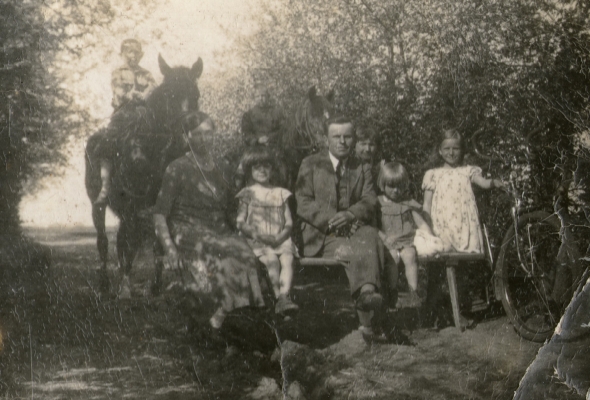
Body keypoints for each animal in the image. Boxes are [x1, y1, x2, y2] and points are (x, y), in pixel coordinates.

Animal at [85, 54, 210, 296]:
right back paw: (106, 284)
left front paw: (156, 285)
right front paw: (125, 287)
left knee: (120, 240)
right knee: (104, 241)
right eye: (169, 95)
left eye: (196, 95)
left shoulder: (159, 203)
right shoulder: (132, 203)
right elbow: (131, 243)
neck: (151, 150)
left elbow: (158, 243)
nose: (186, 135)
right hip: (100, 205)